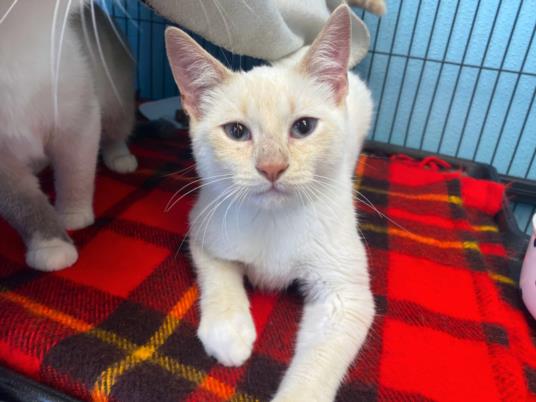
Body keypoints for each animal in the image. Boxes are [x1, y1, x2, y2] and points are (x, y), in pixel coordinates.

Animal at [165, 6, 374, 402]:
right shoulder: (205, 226)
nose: (272, 167)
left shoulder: (345, 297)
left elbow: (317, 365)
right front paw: (228, 330)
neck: (273, 219)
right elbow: (219, 273)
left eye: (304, 127)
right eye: (236, 132)